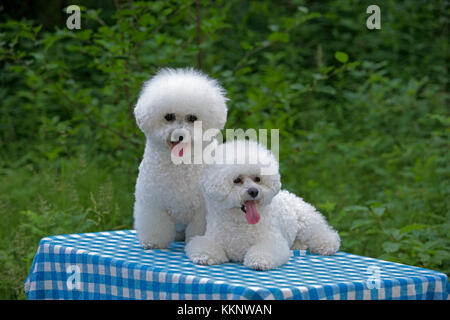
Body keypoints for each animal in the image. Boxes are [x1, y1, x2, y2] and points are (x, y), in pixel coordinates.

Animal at [132, 68, 227, 250]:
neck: (178, 164)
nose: (179, 135)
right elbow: (155, 225)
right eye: (169, 116)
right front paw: (153, 242)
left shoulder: (201, 210)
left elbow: (198, 228)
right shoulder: (153, 203)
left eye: (192, 118)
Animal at [185, 140, 340, 270]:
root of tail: (292, 195)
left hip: (308, 222)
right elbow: (205, 247)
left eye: (257, 179)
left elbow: (264, 252)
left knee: (323, 233)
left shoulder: (272, 243)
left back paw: (327, 244)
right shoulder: (211, 239)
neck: (240, 224)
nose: (254, 191)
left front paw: (259, 261)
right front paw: (204, 256)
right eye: (237, 180)